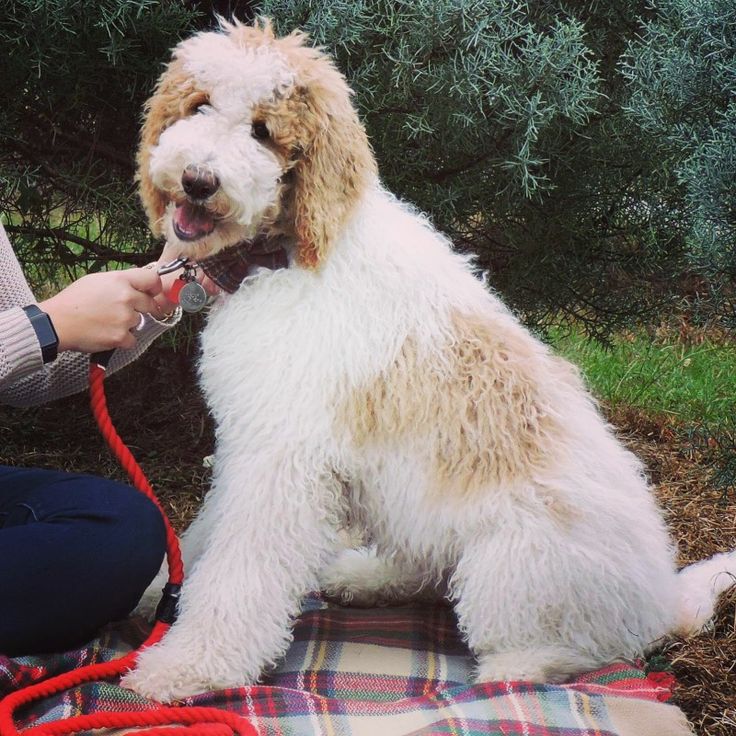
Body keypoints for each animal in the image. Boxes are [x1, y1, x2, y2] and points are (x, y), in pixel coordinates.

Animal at [122, 20, 736, 704]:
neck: (289, 254)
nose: (198, 180)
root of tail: (659, 597)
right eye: (199, 105)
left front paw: (189, 663)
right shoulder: (248, 445)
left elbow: (239, 568)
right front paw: (159, 596)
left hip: (511, 565)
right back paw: (364, 577)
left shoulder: (284, 458)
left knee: (590, 652)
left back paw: (515, 669)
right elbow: (205, 536)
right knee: (429, 575)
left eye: (262, 130)